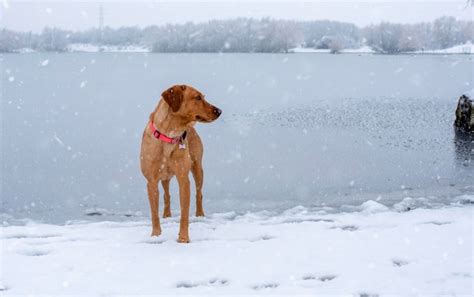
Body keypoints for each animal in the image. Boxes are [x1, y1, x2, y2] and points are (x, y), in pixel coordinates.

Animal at [141, 84, 222, 242]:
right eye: (197, 97)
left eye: (203, 97)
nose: (219, 111)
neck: (169, 135)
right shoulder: (151, 181)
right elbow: (154, 213)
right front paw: (156, 235)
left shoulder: (184, 179)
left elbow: (184, 214)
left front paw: (183, 238)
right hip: (165, 177)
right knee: (166, 194)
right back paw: (166, 215)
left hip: (198, 168)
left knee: (199, 193)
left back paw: (200, 215)